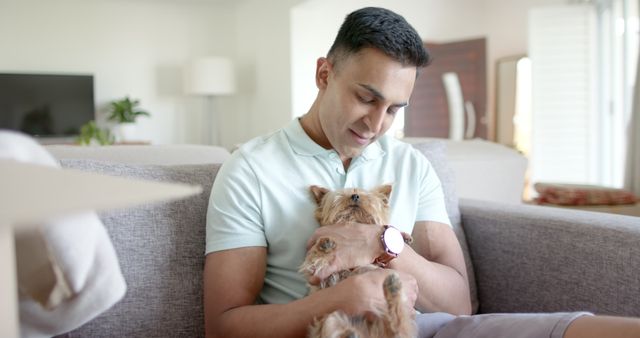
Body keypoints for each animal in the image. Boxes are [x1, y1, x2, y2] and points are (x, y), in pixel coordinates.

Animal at [302, 185, 418, 338]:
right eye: (341, 196)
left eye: (364, 195)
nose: (355, 196)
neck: (354, 220)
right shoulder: (317, 271)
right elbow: (316, 258)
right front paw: (324, 244)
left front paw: (403, 236)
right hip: (330, 320)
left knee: (398, 326)